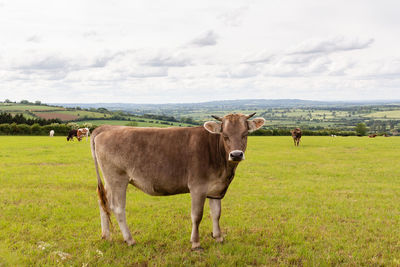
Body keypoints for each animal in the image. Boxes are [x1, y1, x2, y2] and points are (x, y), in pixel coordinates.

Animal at [91, 113, 266, 251]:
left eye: (245, 134)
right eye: (225, 135)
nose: (236, 154)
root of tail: (106, 128)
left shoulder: (216, 189)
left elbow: (216, 213)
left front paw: (218, 237)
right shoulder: (197, 187)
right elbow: (197, 215)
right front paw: (195, 243)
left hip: (109, 181)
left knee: (103, 203)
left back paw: (106, 236)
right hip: (117, 178)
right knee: (117, 208)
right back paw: (130, 240)